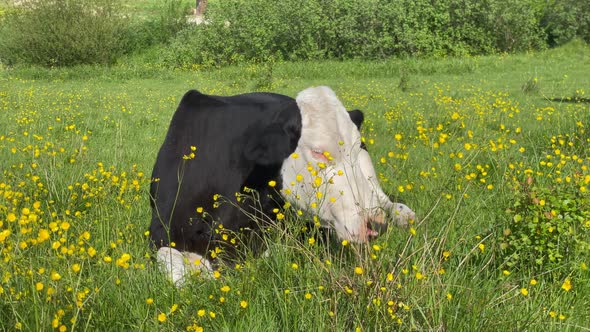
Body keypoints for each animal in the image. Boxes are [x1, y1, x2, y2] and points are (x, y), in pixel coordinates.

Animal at [149, 85, 416, 286]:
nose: (375, 224)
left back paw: (403, 215)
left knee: (385, 200)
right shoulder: (158, 232)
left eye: (357, 145)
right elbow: (179, 273)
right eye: (318, 152)